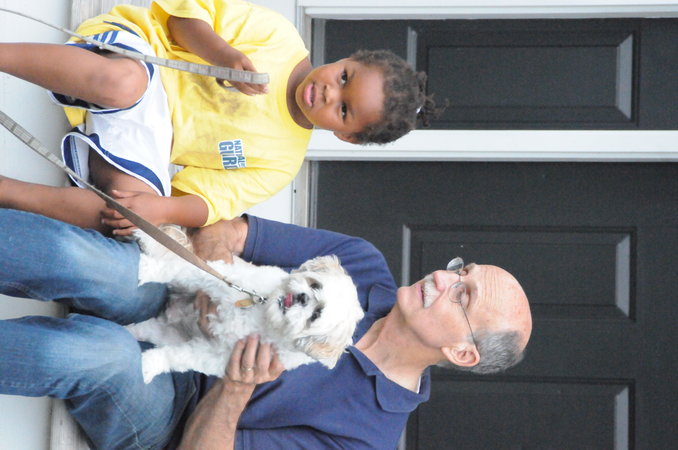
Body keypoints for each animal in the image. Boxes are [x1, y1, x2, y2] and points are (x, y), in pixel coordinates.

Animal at [126, 229, 364, 383]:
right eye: (315, 285)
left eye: (315, 315)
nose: (302, 298)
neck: (264, 314)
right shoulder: (221, 279)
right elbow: (179, 271)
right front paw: (149, 270)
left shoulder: (216, 355)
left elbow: (178, 357)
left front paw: (150, 365)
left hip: (167, 333)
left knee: (147, 331)